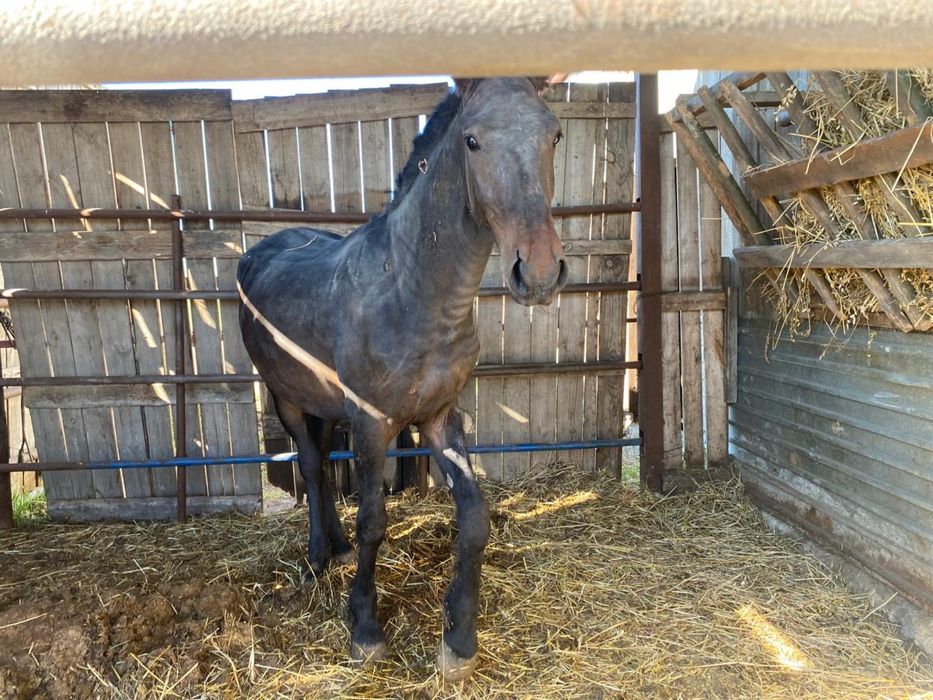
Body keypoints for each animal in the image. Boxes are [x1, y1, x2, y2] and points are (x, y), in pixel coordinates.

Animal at [237, 77, 566, 681]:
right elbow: (373, 521)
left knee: (320, 463)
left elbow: (475, 519)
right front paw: (365, 627)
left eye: (553, 134)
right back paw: (317, 559)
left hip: (325, 405)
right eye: (472, 141)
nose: (537, 270)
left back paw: (335, 550)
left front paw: (458, 639)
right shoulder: (372, 424)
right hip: (286, 398)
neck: (413, 293)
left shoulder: (440, 417)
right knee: (312, 467)